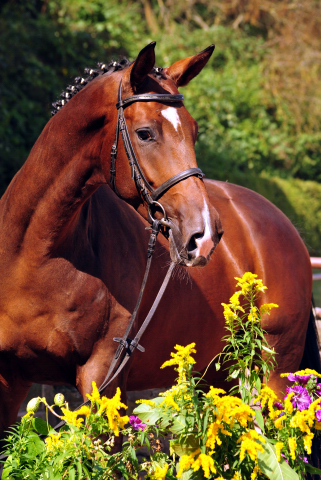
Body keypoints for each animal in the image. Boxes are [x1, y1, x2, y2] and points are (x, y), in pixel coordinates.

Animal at [0, 40, 316, 438]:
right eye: (145, 133)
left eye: (194, 132)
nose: (205, 235)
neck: (36, 253)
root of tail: (284, 225)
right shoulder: (9, 380)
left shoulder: (101, 378)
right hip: (224, 375)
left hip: (274, 374)